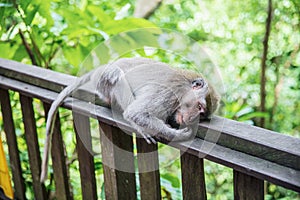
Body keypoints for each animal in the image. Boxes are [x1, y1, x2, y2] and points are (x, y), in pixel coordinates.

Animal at [40, 57, 220, 182]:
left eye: (202, 114)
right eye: (199, 107)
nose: (192, 118)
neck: (185, 89)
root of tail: (100, 69)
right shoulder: (168, 93)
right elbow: (136, 112)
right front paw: (178, 134)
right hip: (103, 80)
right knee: (117, 77)